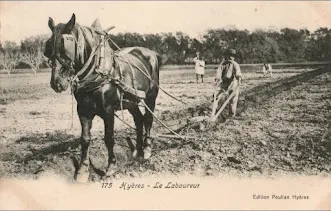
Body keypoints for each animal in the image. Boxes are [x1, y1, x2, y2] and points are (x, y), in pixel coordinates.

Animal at [44, 13, 163, 182]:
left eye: (65, 46)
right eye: (48, 47)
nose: (56, 83)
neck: (96, 72)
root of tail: (151, 53)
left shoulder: (108, 110)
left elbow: (109, 138)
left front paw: (111, 167)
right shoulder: (83, 110)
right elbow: (85, 139)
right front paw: (83, 170)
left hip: (151, 98)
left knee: (148, 119)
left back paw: (146, 150)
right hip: (131, 102)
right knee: (139, 120)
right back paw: (136, 152)